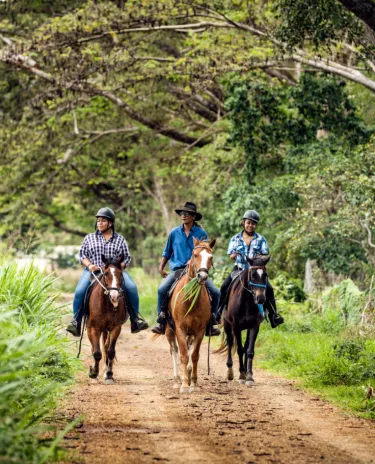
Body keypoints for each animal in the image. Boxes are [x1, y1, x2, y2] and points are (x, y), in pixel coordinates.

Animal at [86, 254, 128, 384]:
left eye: (120, 273)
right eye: (106, 273)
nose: (114, 296)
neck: (107, 305)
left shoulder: (116, 328)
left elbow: (110, 352)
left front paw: (109, 375)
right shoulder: (94, 328)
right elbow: (97, 353)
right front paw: (93, 373)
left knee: (105, 346)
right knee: (94, 348)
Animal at [166, 237, 216, 394]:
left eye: (211, 257)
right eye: (195, 255)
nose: (202, 276)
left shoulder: (199, 331)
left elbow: (194, 356)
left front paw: (193, 383)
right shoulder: (180, 329)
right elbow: (183, 355)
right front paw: (184, 385)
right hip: (169, 330)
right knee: (174, 350)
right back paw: (177, 380)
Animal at [220, 256, 270, 386]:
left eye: (265, 275)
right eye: (252, 275)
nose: (261, 298)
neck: (246, 301)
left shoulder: (254, 326)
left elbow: (249, 351)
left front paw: (249, 376)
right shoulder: (236, 327)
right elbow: (239, 349)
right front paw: (242, 375)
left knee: (246, 346)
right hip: (227, 325)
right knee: (230, 342)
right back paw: (230, 371)